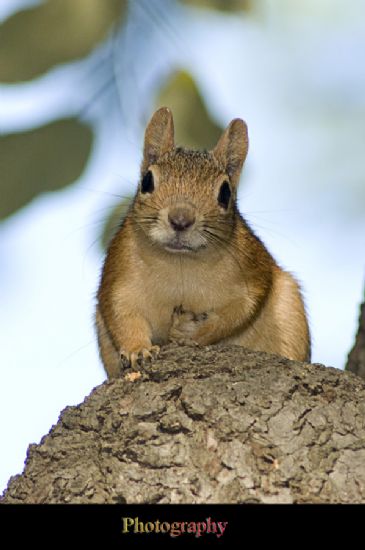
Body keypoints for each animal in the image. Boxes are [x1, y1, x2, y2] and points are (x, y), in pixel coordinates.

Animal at [95, 106, 308, 380]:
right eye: (147, 181)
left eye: (225, 193)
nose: (180, 219)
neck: (181, 262)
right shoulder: (118, 271)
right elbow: (121, 315)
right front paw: (136, 349)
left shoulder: (253, 268)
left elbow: (239, 312)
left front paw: (193, 333)